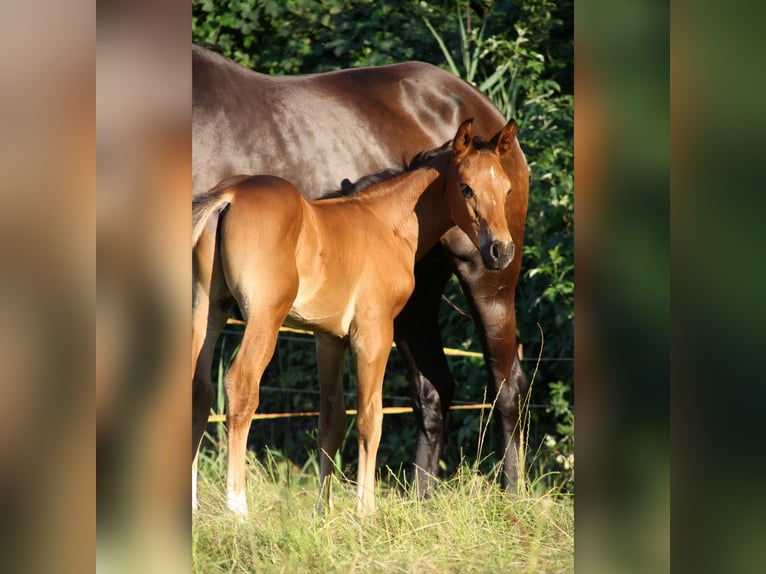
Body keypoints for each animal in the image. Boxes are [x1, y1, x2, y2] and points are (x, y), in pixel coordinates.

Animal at [192, 44, 530, 496]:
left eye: (504, 190)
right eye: (466, 189)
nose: (501, 249)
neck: (382, 216)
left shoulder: (339, 333)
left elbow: (338, 420)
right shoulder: (363, 329)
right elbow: (364, 418)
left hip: (482, 284)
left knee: (500, 386)